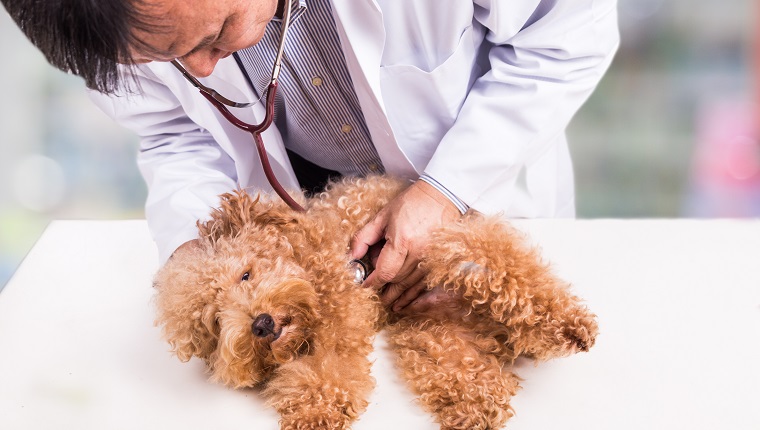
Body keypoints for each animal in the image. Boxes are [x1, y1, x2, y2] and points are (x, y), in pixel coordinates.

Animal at [153, 176, 592, 430]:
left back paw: (568, 327)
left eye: (245, 274)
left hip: (450, 247)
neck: (307, 260)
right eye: (215, 321)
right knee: (463, 369)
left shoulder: (341, 317)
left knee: (509, 271)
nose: (260, 324)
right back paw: (475, 406)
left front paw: (316, 412)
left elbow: (329, 367)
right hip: (428, 333)